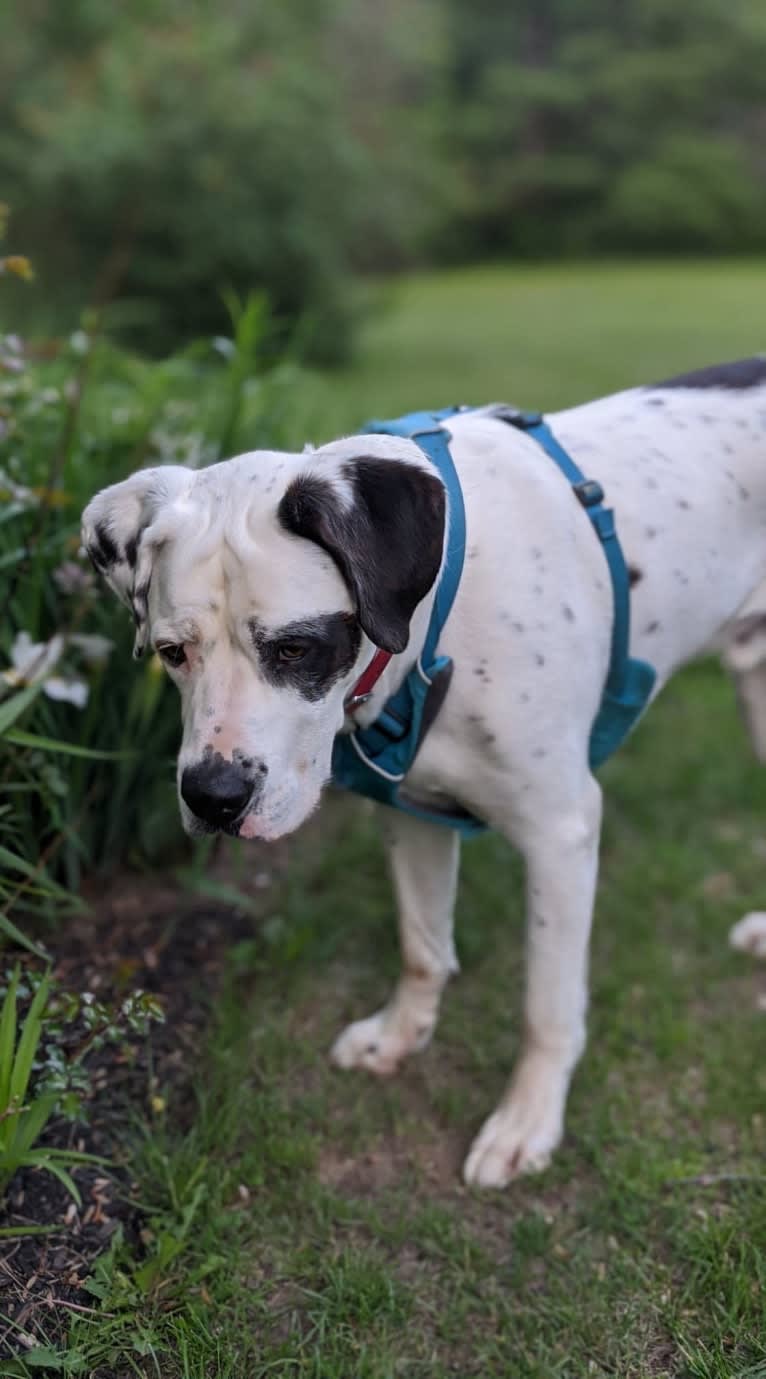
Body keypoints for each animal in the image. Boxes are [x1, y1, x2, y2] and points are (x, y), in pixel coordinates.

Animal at [81, 361, 766, 1191]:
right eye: (173, 652)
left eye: (296, 648)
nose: (213, 798)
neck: (440, 608)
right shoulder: (411, 813)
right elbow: (421, 944)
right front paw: (401, 1035)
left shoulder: (561, 832)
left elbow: (546, 1006)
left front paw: (528, 1120)